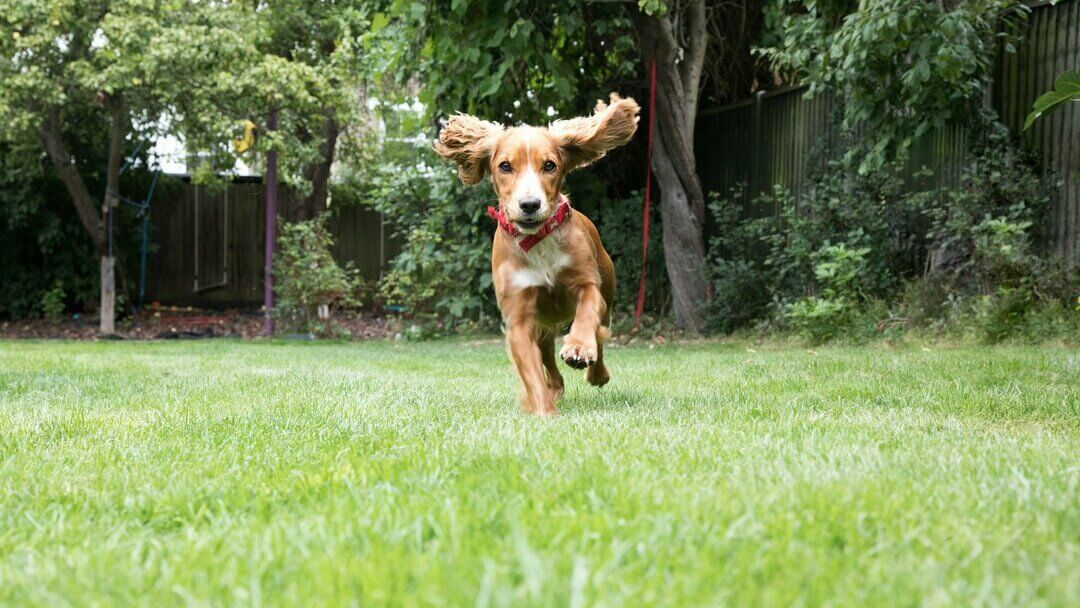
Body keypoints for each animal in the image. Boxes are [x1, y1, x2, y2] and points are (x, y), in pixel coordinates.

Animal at [436, 92, 639, 416]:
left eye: (549, 165)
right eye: (505, 166)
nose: (529, 205)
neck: (537, 242)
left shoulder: (587, 283)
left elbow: (587, 315)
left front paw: (578, 348)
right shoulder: (519, 316)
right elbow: (531, 371)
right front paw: (544, 411)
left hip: (607, 295)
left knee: (600, 335)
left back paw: (596, 372)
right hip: (542, 330)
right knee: (550, 368)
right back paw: (556, 389)